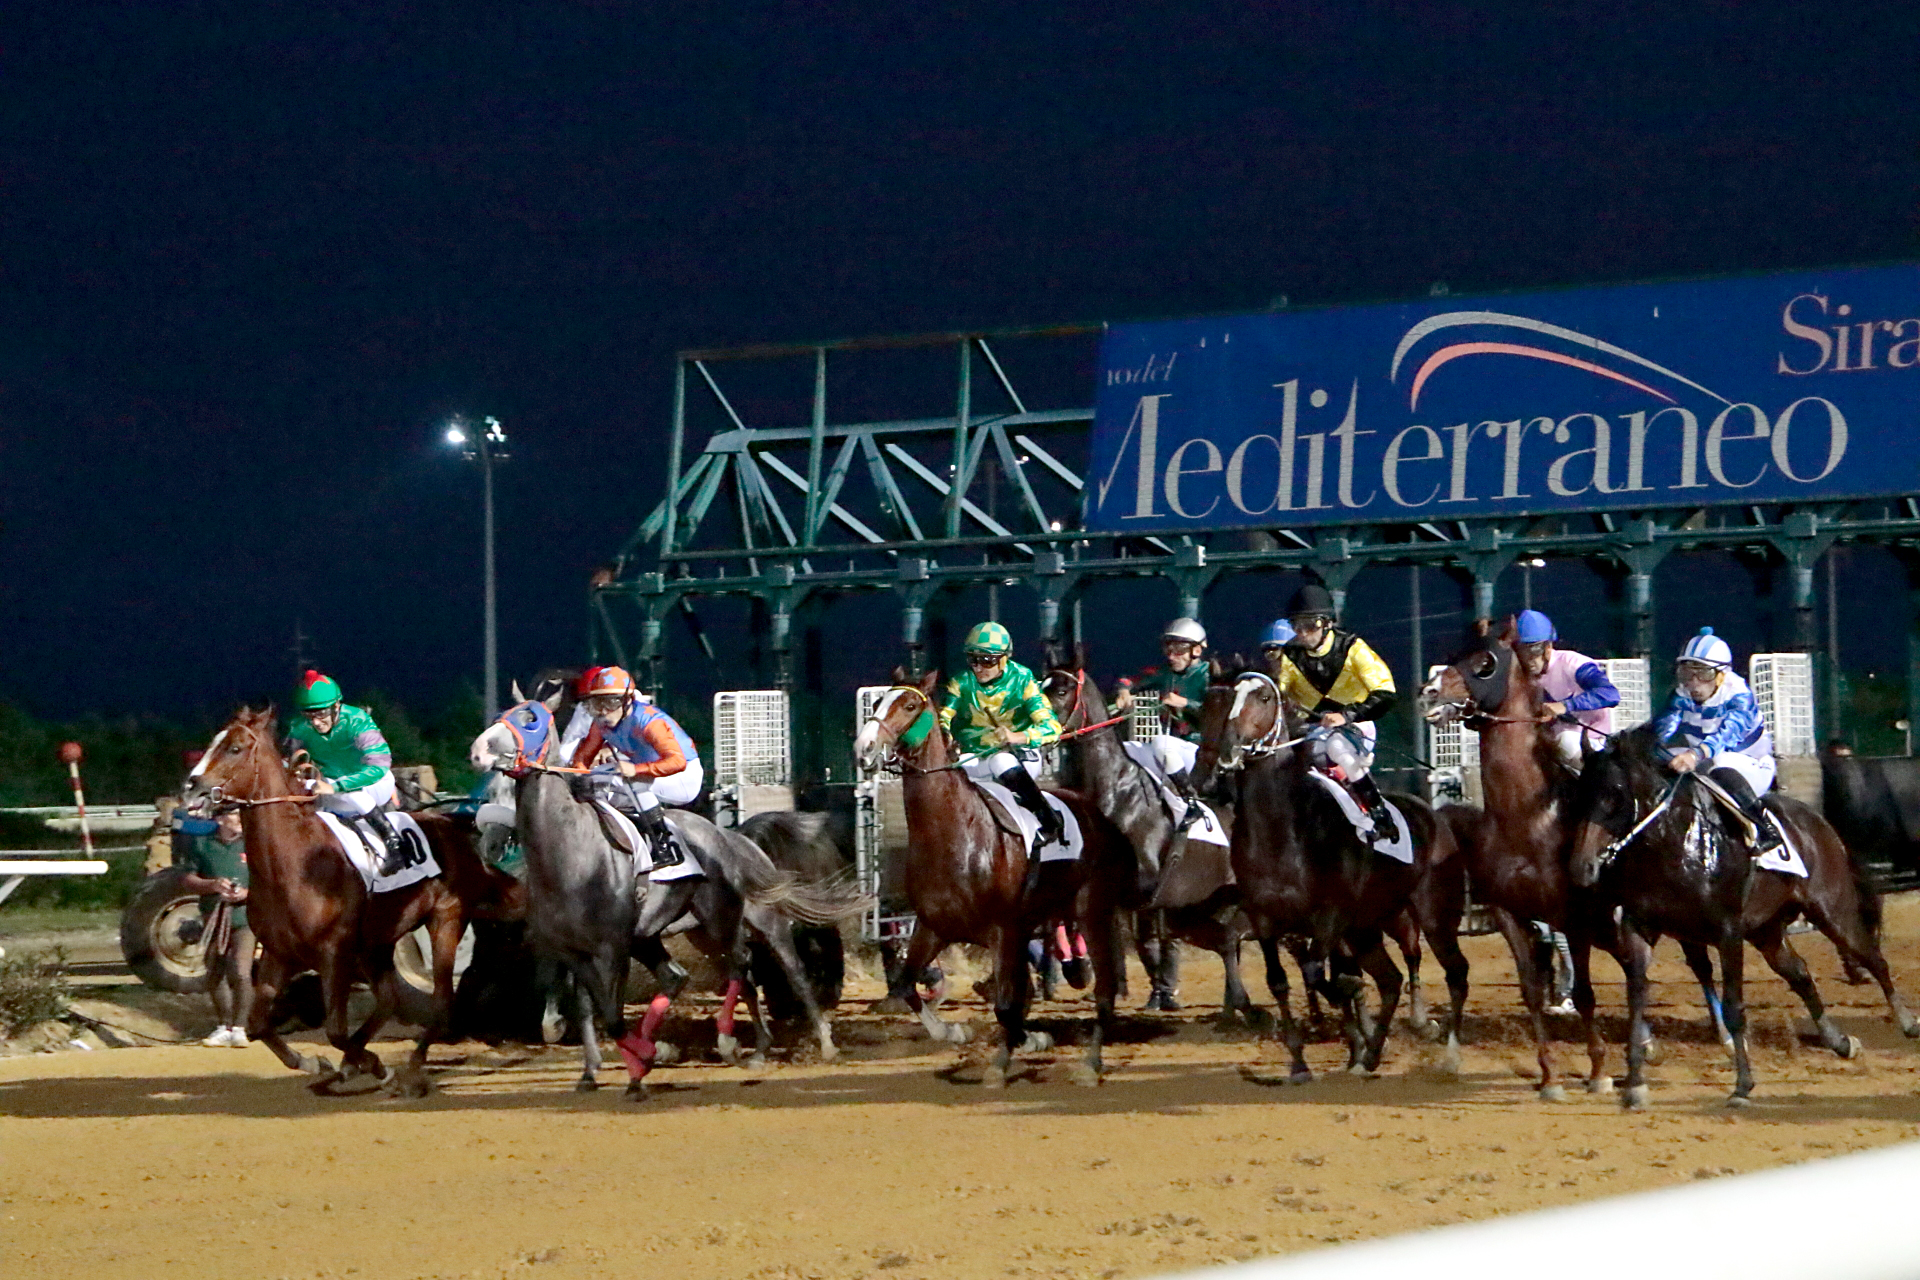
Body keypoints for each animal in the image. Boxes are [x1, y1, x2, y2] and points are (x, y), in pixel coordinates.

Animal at [184, 706, 522, 1097]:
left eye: (235, 748)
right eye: (213, 742)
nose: (192, 787)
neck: (293, 864)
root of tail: (456, 828)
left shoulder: (335, 955)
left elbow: (334, 1031)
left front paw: (372, 1066)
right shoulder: (278, 953)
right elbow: (257, 1025)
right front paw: (317, 1063)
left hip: (445, 920)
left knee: (440, 1003)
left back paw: (410, 1071)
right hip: (378, 942)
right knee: (389, 999)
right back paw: (351, 1067)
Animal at [856, 671, 1136, 1090]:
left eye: (909, 705)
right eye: (876, 704)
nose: (864, 747)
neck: (953, 833)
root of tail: (1098, 815)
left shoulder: (1003, 930)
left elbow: (1006, 1005)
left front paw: (1015, 1053)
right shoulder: (934, 926)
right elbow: (907, 985)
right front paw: (955, 1032)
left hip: (1093, 911)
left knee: (1104, 988)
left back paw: (1090, 1064)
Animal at [1182, 660, 1466, 1082]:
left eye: (1263, 697)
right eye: (1214, 703)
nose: (1228, 751)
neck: (1283, 831)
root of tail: (1434, 817)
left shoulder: (1330, 915)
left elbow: (1322, 973)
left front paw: (1345, 1015)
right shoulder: (1266, 919)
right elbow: (1280, 981)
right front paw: (1300, 1063)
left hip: (1433, 916)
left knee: (1451, 971)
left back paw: (1447, 1052)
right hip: (1369, 924)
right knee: (1391, 980)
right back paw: (1371, 1055)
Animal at [1566, 725, 1912, 1105]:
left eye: (1614, 794)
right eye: (1579, 793)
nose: (1581, 868)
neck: (1675, 843)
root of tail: (1817, 821)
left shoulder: (1728, 933)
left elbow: (1733, 1008)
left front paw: (1743, 1085)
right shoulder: (1640, 927)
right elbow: (1637, 998)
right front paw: (1635, 1083)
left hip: (1831, 909)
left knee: (1872, 957)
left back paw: (1907, 1022)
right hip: (1767, 929)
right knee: (1800, 973)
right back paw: (1840, 1042)